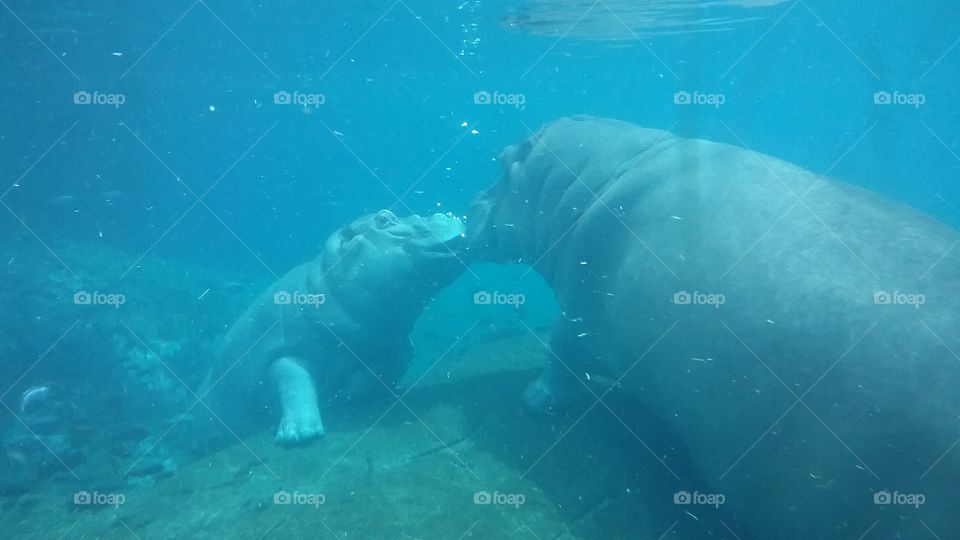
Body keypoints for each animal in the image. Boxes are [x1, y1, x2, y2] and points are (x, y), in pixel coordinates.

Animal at [204, 210, 466, 443]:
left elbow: (394, 363)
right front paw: (301, 435)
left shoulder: (393, 343)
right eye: (383, 218)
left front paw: (349, 394)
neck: (322, 280)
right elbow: (292, 378)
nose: (443, 214)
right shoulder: (283, 350)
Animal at [467, 116, 960, 538]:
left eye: (503, 160)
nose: (472, 200)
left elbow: (559, 356)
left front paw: (535, 400)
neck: (591, 177)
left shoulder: (575, 313)